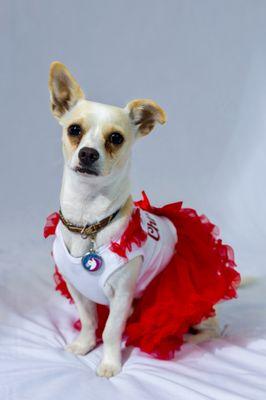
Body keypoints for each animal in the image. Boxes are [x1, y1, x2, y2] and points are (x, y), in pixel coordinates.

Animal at [48, 61, 231, 376]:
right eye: (74, 130)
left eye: (116, 138)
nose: (87, 153)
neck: (89, 221)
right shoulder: (78, 290)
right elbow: (90, 321)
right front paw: (84, 345)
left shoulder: (122, 295)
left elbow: (110, 330)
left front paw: (109, 363)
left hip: (195, 310)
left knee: (212, 328)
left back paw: (188, 338)